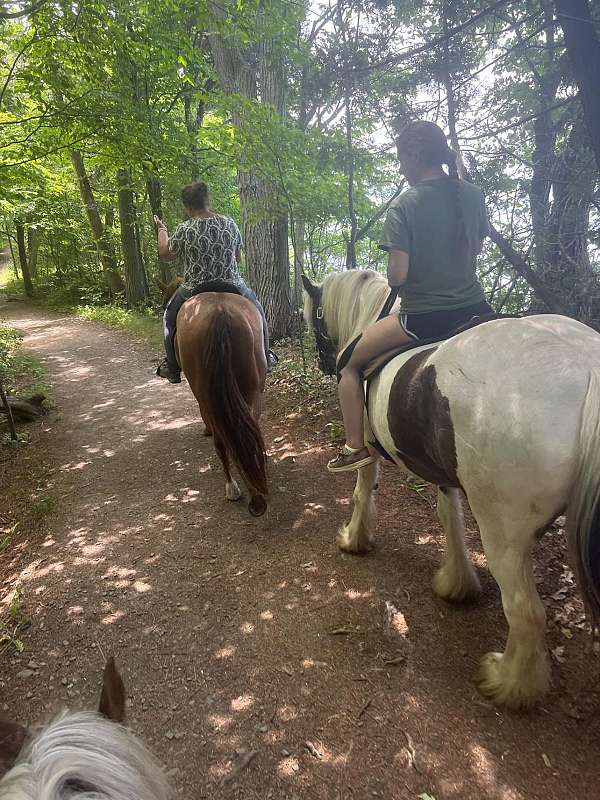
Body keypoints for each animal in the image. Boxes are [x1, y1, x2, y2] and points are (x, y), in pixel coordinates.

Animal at [308, 272, 600, 708]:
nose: (329, 362)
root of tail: (585, 364)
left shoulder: (369, 452)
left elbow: (363, 491)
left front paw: (354, 539)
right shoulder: (445, 475)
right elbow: (450, 520)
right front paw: (457, 583)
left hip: (504, 535)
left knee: (526, 613)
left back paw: (507, 683)